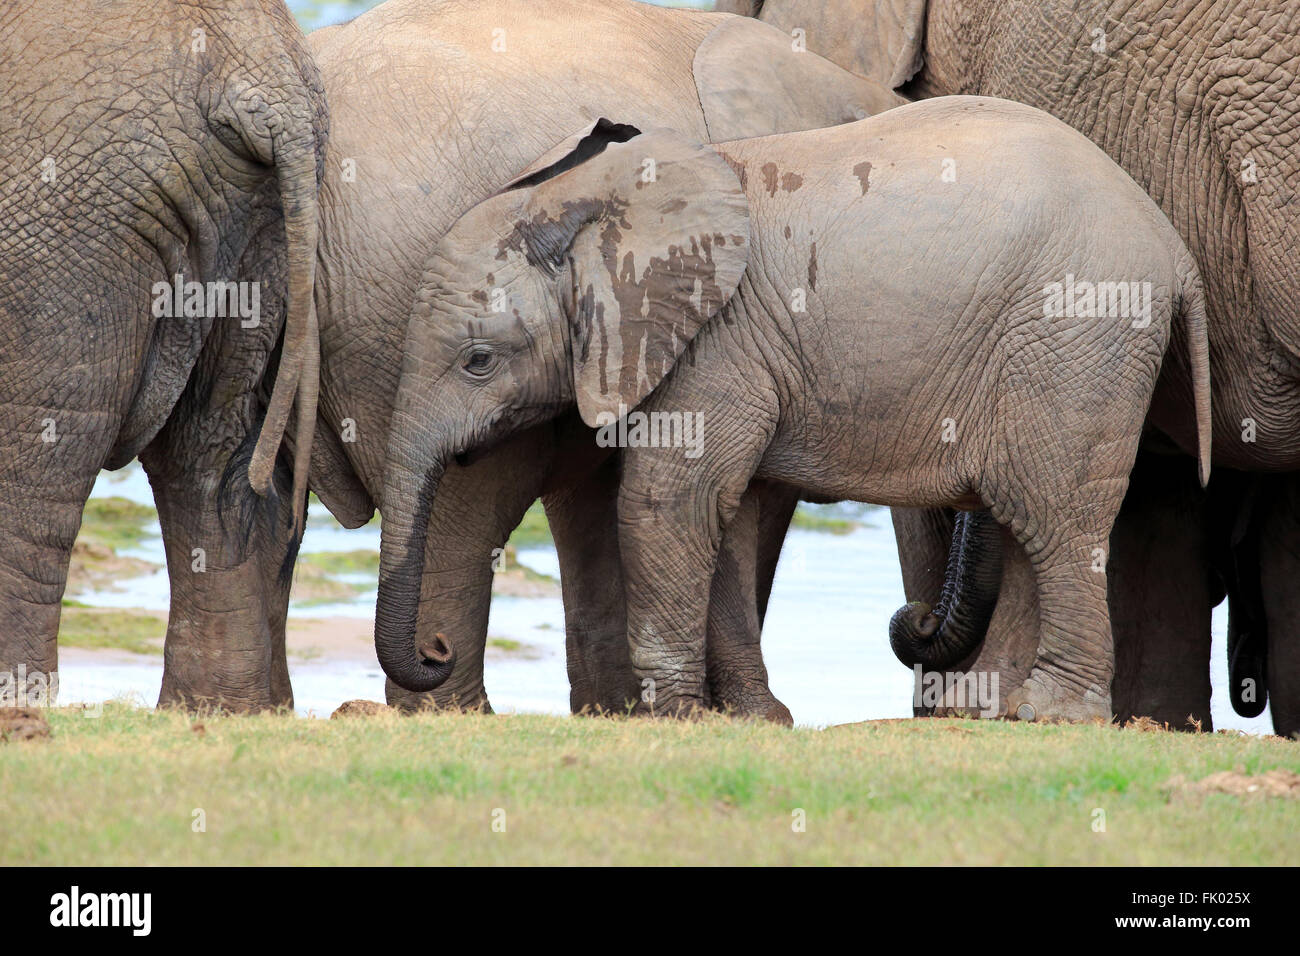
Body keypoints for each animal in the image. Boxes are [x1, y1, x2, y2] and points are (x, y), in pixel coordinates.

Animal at [0, 0, 325, 702]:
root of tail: (263, 77)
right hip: (256, 229)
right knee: (209, 457)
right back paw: (217, 711)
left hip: (66, 220)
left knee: (39, 453)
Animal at [374, 97, 1206, 723]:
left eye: (478, 362)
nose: (437, 651)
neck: (587, 202)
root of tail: (1172, 242)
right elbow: (729, 514)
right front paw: (753, 719)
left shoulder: (718, 340)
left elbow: (670, 498)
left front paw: (676, 717)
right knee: (1029, 516)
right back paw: (990, 708)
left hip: (1077, 336)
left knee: (1055, 517)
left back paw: (1046, 712)